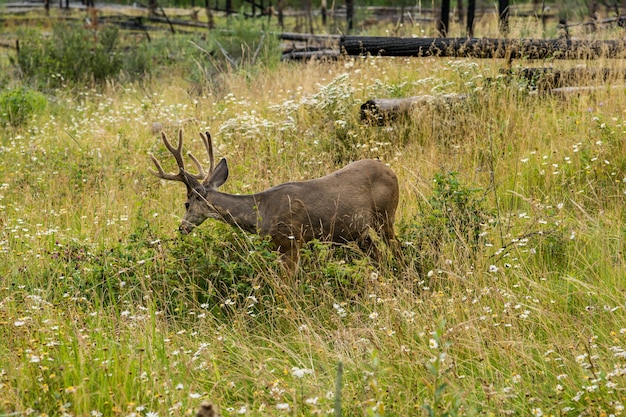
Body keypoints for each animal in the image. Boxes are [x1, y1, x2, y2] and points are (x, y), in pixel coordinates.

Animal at [149, 128, 398, 270]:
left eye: (187, 203)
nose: (182, 227)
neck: (262, 213)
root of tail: (391, 171)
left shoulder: (291, 241)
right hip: (359, 233)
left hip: (386, 215)